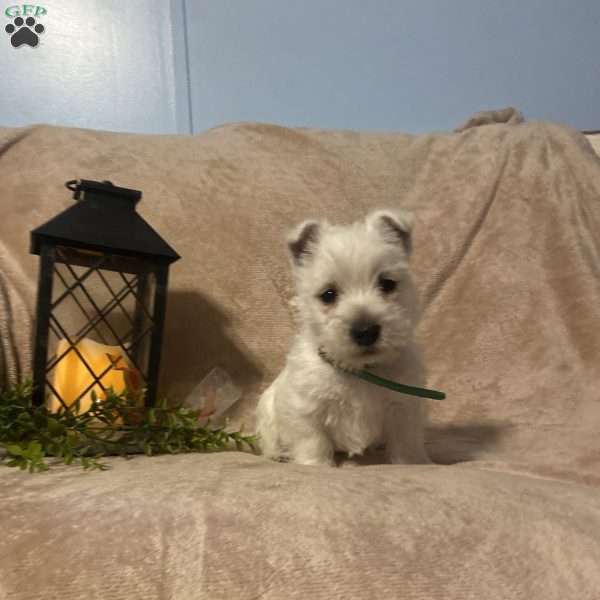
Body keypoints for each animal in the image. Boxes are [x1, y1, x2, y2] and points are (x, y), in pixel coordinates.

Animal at [254, 209, 432, 466]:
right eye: (328, 294)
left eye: (387, 284)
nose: (365, 331)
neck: (360, 371)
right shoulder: (305, 409)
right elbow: (313, 442)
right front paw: (316, 465)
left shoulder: (404, 407)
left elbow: (406, 444)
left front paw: (413, 464)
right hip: (267, 415)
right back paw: (279, 455)